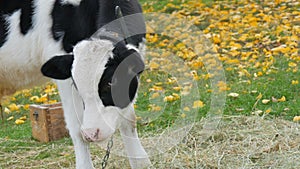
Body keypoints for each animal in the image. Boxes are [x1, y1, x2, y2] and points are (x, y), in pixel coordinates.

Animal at [0, 0, 150, 168]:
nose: (91, 133)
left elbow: (128, 119)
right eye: (77, 86)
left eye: (110, 83)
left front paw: (140, 161)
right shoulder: (63, 74)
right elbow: (77, 128)